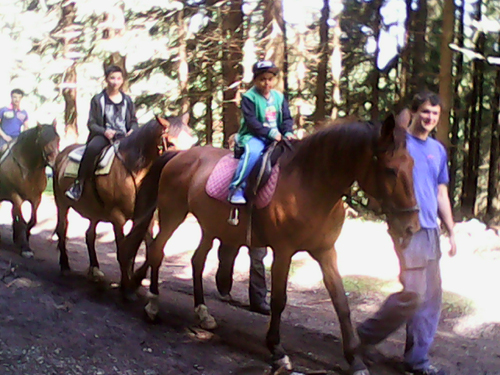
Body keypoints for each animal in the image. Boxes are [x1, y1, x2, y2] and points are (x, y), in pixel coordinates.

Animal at [0, 125, 60, 260]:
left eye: (57, 139)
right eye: (42, 140)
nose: (54, 162)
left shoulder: (36, 198)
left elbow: (32, 221)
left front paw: (23, 239)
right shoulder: (15, 196)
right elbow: (21, 222)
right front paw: (25, 248)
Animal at [52, 113, 195, 284]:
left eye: (193, 142)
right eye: (171, 142)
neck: (134, 171)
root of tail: (62, 154)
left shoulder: (145, 218)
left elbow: (142, 250)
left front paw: (135, 278)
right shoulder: (117, 217)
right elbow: (123, 252)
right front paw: (126, 284)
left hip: (94, 211)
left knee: (89, 235)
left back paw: (94, 269)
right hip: (61, 204)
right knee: (62, 229)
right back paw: (65, 266)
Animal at [120, 115, 418, 375]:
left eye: (413, 167)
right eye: (391, 170)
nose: (411, 226)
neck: (309, 185)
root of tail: (180, 156)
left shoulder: (326, 252)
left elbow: (341, 304)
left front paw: (355, 360)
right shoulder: (283, 252)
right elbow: (279, 300)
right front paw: (277, 350)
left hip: (210, 226)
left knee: (196, 261)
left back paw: (203, 314)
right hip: (173, 213)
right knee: (157, 252)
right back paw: (153, 305)